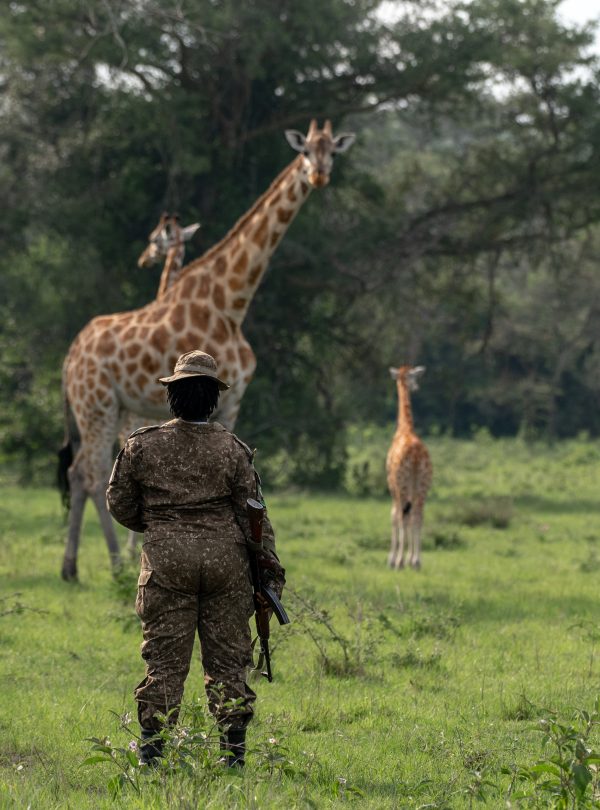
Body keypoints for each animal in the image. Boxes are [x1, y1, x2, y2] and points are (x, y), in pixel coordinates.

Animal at [58, 118, 354, 580]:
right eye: (305, 150)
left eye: (332, 151)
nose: (319, 175)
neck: (231, 302)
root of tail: (71, 356)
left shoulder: (232, 401)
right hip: (97, 403)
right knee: (91, 474)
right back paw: (113, 564)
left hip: (106, 407)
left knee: (77, 472)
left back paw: (74, 568)